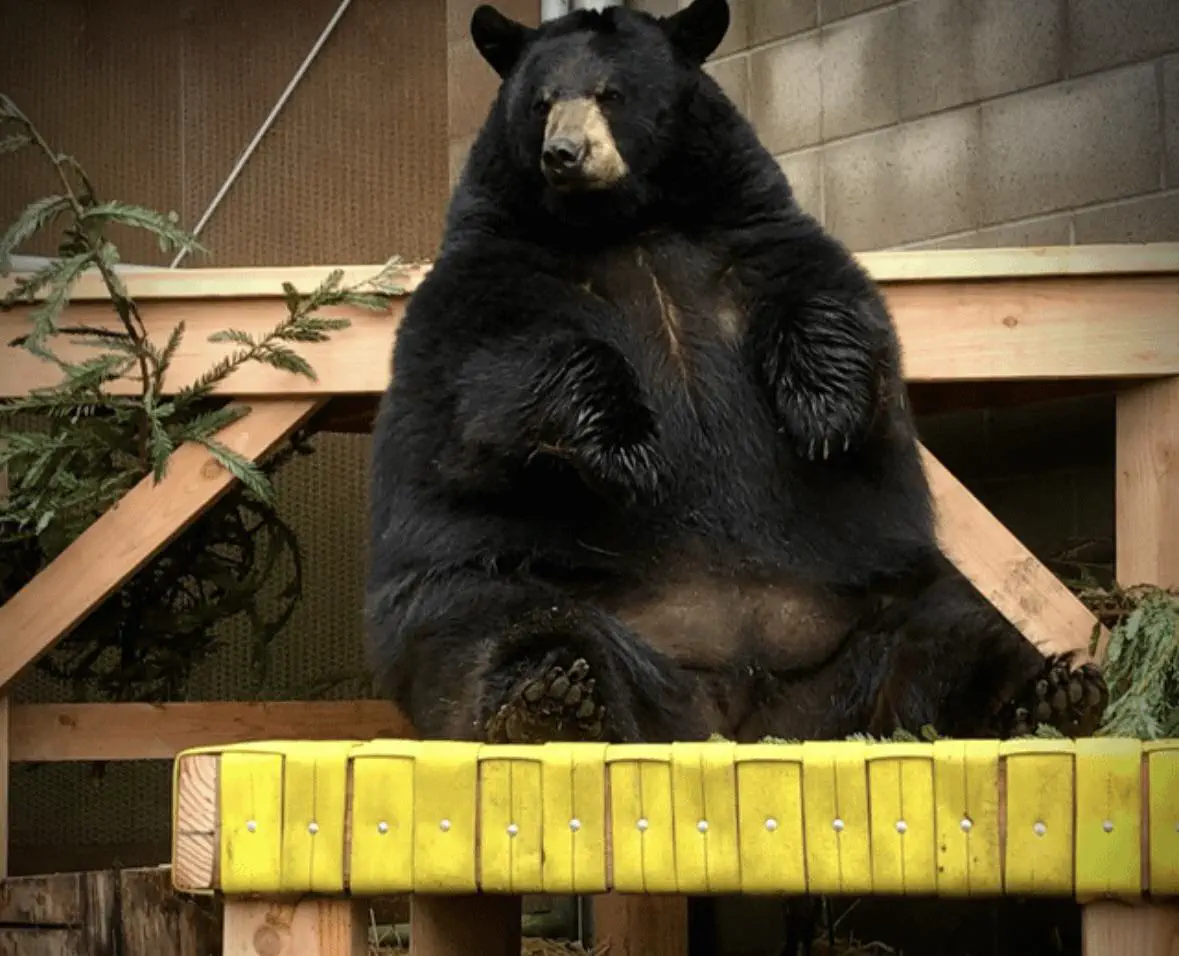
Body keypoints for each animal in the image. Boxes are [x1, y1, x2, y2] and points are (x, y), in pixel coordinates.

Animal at [364, 0, 1108, 751]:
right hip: (509, 583)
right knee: (501, 630)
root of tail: (742, 714)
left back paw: (1051, 695)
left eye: (611, 93)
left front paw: (822, 412)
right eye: (541, 101)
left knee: (959, 632)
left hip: (881, 594)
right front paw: (631, 447)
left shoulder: (746, 229)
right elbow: (496, 371)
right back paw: (550, 703)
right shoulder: (494, 265)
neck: (625, 222)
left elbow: (828, 301)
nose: (564, 154)